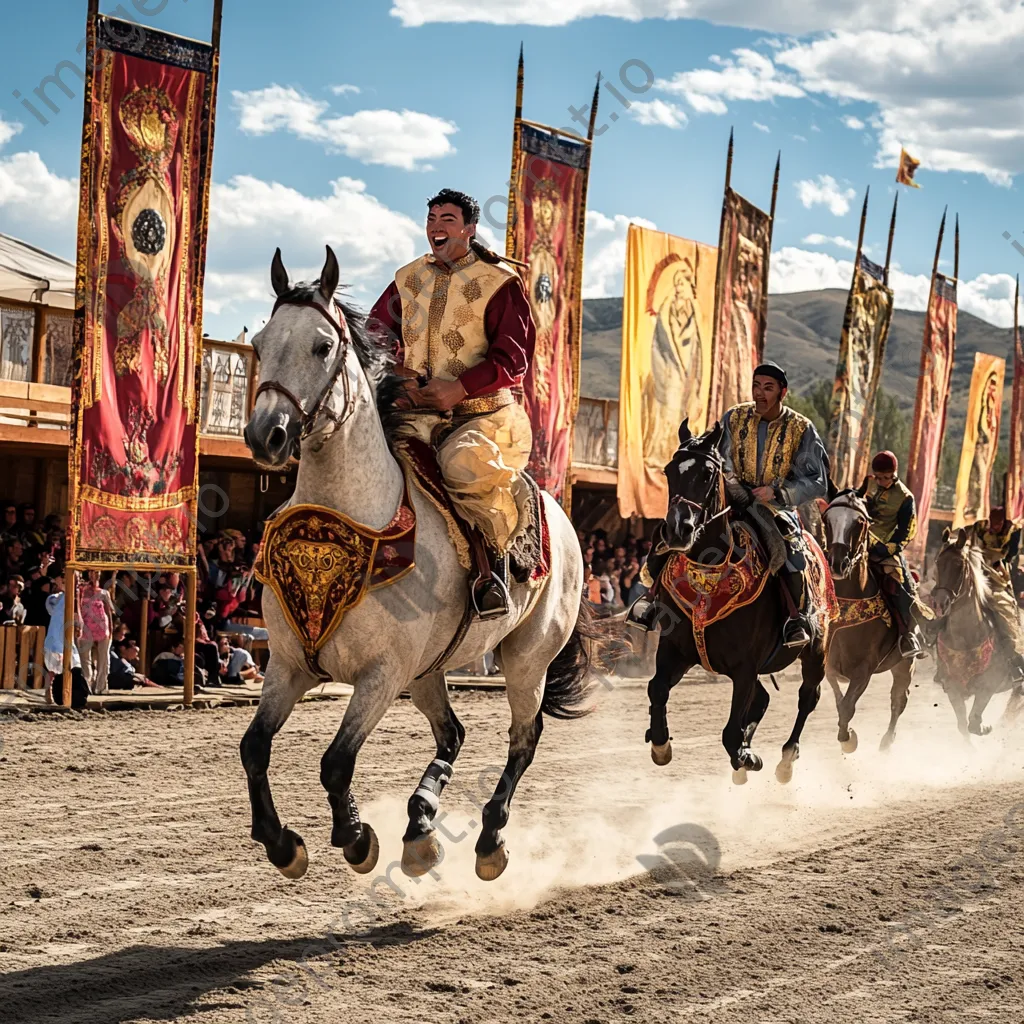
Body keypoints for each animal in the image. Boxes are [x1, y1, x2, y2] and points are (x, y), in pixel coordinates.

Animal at [239, 245, 593, 880]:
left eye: (322, 347)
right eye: (260, 343)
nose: (266, 435)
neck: (352, 519)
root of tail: (557, 511)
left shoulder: (382, 675)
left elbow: (335, 761)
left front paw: (355, 837)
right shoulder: (288, 663)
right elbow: (254, 747)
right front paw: (283, 844)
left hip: (525, 658)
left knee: (523, 738)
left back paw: (488, 841)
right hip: (431, 668)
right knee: (452, 732)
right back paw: (420, 826)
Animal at [647, 419, 831, 786]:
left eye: (707, 474)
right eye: (670, 470)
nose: (677, 529)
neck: (710, 572)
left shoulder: (745, 667)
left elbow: (731, 733)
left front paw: (748, 756)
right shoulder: (675, 649)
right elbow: (656, 689)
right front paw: (661, 745)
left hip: (816, 651)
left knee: (808, 698)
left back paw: (785, 760)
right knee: (763, 698)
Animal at [819, 483, 917, 757]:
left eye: (860, 522)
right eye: (826, 520)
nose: (837, 564)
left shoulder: (865, 669)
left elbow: (847, 706)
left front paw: (848, 739)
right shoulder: (829, 664)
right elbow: (839, 698)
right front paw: (847, 734)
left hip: (905, 664)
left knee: (898, 699)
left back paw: (887, 741)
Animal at [933, 528, 1019, 737]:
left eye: (958, 564)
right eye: (938, 562)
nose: (939, 603)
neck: (965, 640)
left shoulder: (988, 684)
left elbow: (973, 723)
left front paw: (985, 727)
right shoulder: (952, 687)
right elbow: (963, 726)